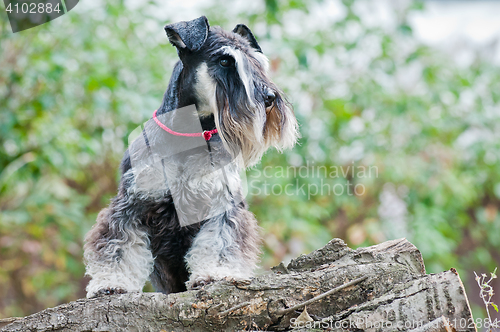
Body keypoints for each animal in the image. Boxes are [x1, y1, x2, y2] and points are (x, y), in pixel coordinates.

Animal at [84, 15, 298, 298]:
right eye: (225, 61)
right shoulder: (132, 203)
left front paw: (216, 273)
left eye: (257, 62)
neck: (190, 134)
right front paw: (112, 282)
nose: (269, 98)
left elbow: (221, 240)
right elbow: (119, 243)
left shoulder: (222, 202)